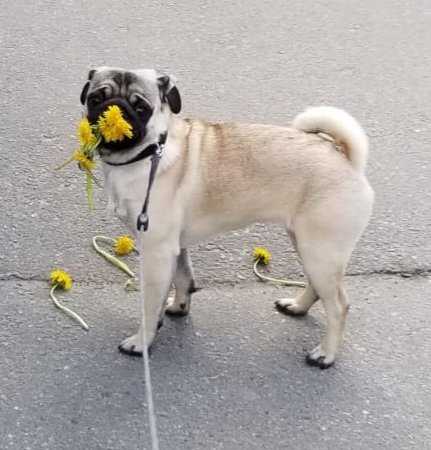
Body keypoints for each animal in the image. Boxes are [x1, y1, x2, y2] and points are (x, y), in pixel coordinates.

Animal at [80, 66, 374, 369]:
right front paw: (177, 307)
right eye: (95, 98)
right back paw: (297, 306)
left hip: (319, 252)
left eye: (141, 108)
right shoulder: (174, 248)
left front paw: (142, 342)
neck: (150, 153)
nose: (114, 109)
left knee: (338, 306)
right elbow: (182, 278)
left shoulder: (155, 252)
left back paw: (325, 354)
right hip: (307, 246)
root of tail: (344, 157)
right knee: (318, 287)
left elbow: (150, 304)